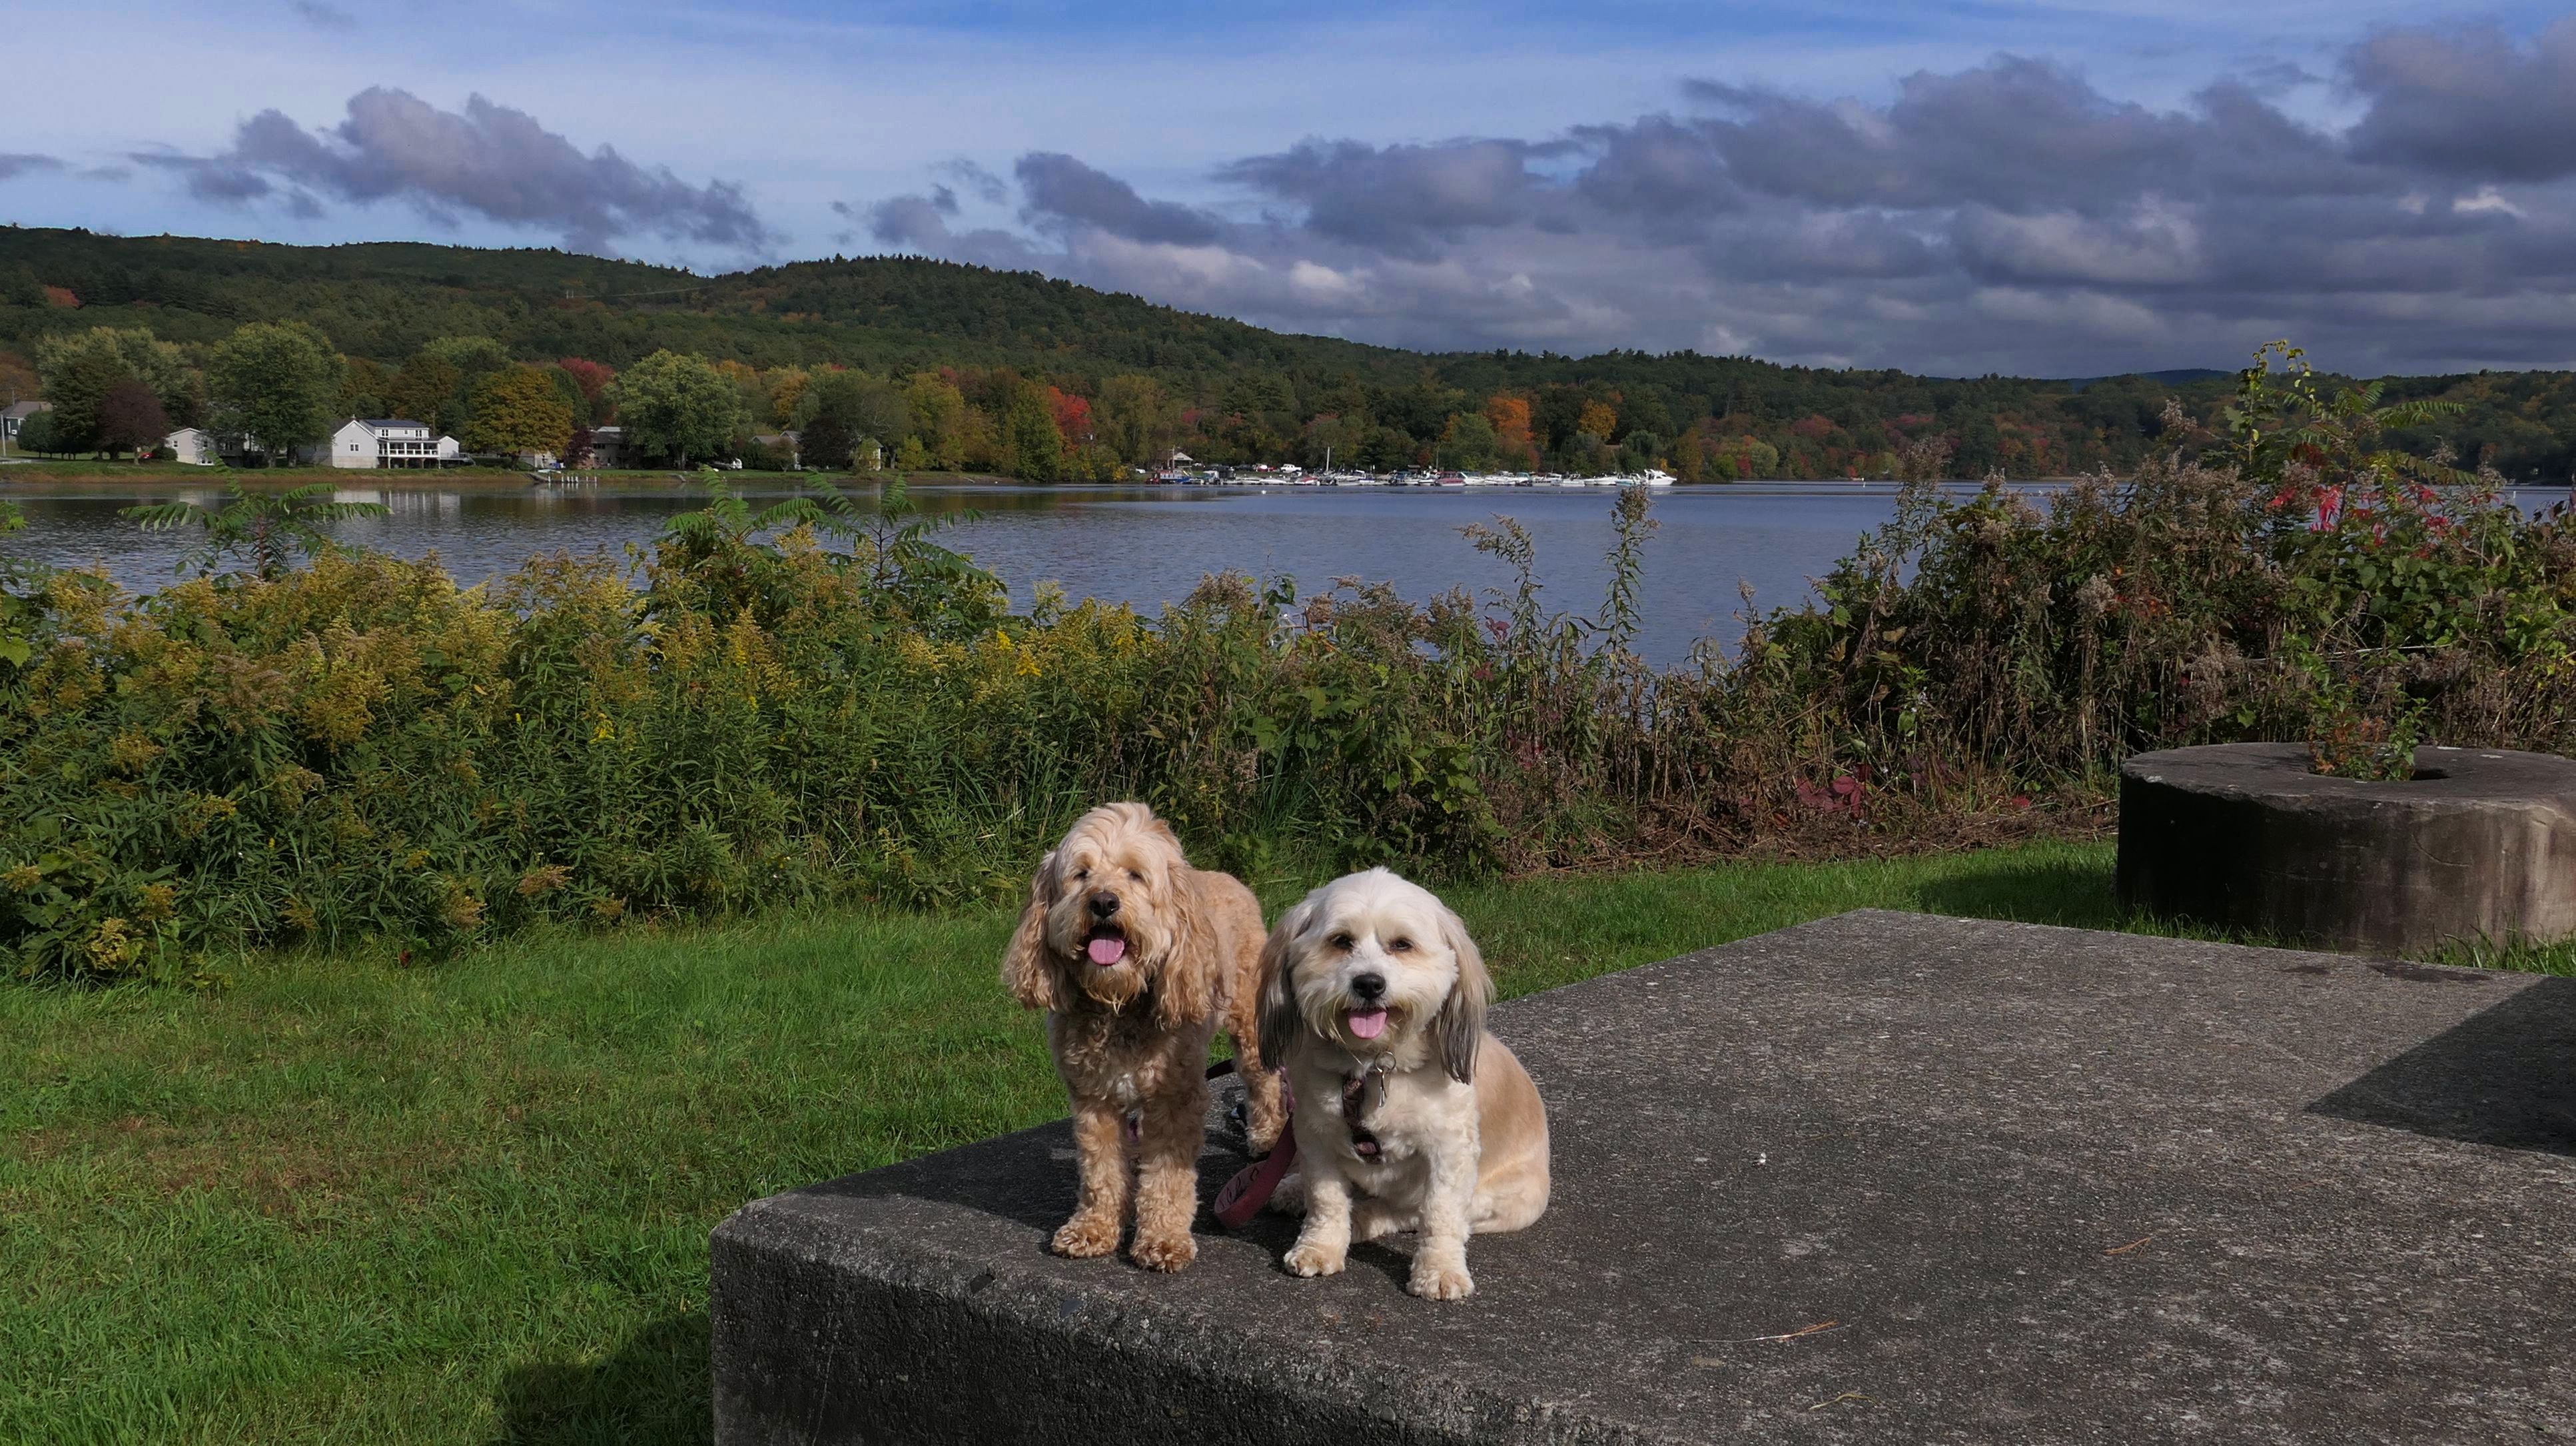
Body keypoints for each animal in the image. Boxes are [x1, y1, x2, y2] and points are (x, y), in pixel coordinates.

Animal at [1002, 802, 1284, 1271]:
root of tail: (1228, 878)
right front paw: (1094, 1228)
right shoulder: (1093, 1098)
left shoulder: (1177, 1098)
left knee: (1263, 1080)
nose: (1103, 902)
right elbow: (1101, 1172)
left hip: (1249, 1023)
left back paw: (1266, 1136)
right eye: (1081, 874)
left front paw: (1164, 1238)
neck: (1120, 1001)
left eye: (1135, 875)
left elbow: (1168, 1178)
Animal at [1257, 867, 1548, 1300]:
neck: (1372, 1068)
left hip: (1501, 1201)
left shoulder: (1450, 1151)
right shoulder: (1315, 1137)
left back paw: (1364, 1219)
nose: (1369, 983)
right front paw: (1319, 1246)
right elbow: (1326, 1200)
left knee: (1411, 1212)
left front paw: (1439, 1271)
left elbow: (1439, 1215)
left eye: (1402, 945)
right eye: (1340, 941)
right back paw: (1296, 1190)